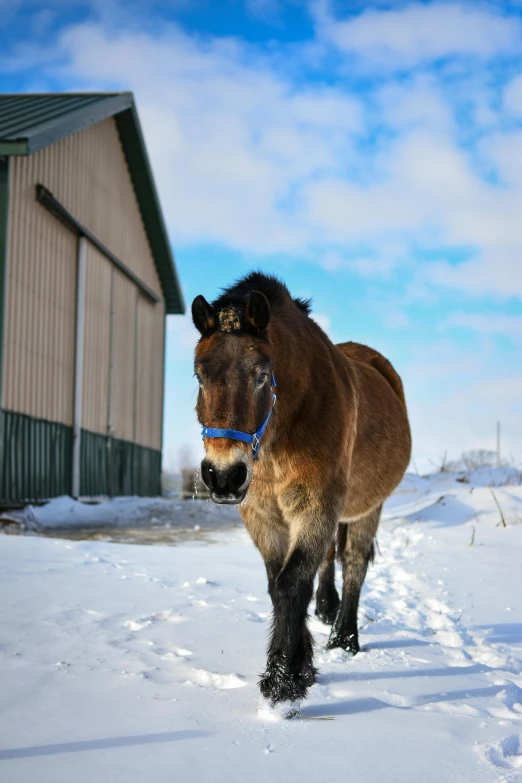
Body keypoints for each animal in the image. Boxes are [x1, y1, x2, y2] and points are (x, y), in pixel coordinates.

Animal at [191, 272, 410, 712]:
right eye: (199, 376)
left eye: (261, 374)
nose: (223, 476)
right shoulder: (262, 514)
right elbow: (280, 582)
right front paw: (301, 666)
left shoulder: (316, 505)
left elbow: (293, 582)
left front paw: (283, 684)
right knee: (329, 560)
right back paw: (327, 613)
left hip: (369, 508)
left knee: (354, 563)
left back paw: (344, 639)